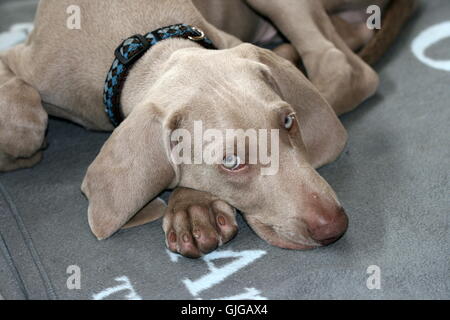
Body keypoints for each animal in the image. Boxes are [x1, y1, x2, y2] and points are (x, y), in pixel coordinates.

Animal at [0, 0, 414, 256]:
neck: (139, 44)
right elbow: (23, 117)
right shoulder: (23, 58)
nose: (335, 227)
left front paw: (191, 206)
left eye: (288, 121)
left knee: (343, 65)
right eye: (231, 162)